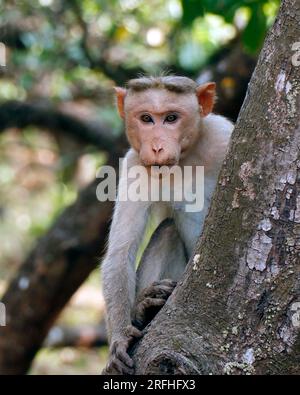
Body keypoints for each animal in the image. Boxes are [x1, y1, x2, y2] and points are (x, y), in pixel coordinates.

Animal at [101, 76, 232, 376]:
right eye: (146, 119)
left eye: (171, 118)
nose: (157, 147)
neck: (186, 157)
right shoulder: (136, 165)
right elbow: (120, 252)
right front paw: (120, 338)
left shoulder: (223, 136)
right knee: (168, 231)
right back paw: (144, 309)